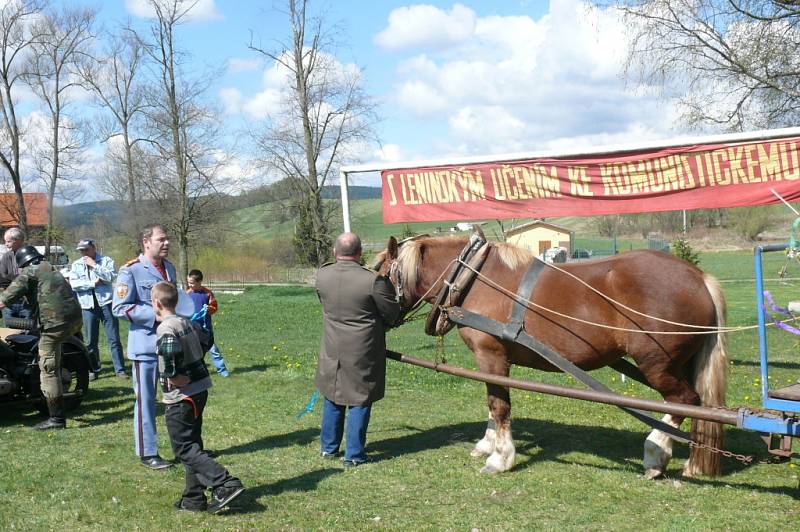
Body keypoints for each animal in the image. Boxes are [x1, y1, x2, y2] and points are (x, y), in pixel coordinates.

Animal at [372, 234, 728, 478]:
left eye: (380, 274)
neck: (471, 279)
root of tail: (699, 277)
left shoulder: (491, 354)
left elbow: (499, 406)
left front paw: (500, 457)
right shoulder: (490, 361)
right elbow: (492, 401)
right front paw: (488, 444)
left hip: (657, 364)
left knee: (684, 401)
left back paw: (655, 454)